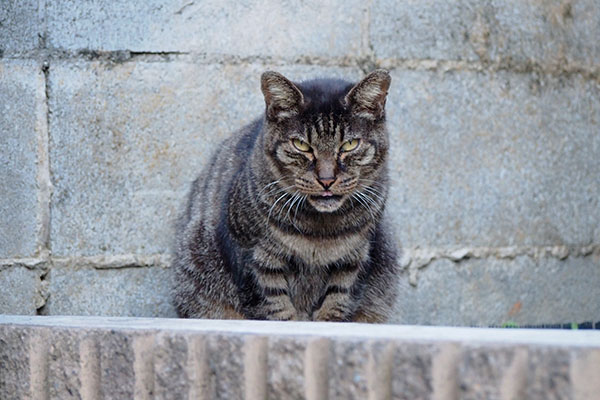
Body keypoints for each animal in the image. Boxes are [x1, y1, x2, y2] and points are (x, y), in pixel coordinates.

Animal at [171, 70, 400, 324]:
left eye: (350, 144)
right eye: (301, 145)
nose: (326, 179)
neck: (321, 234)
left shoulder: (355, 260)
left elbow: (338, 301)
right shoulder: (254, 258)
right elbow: (275, 306)